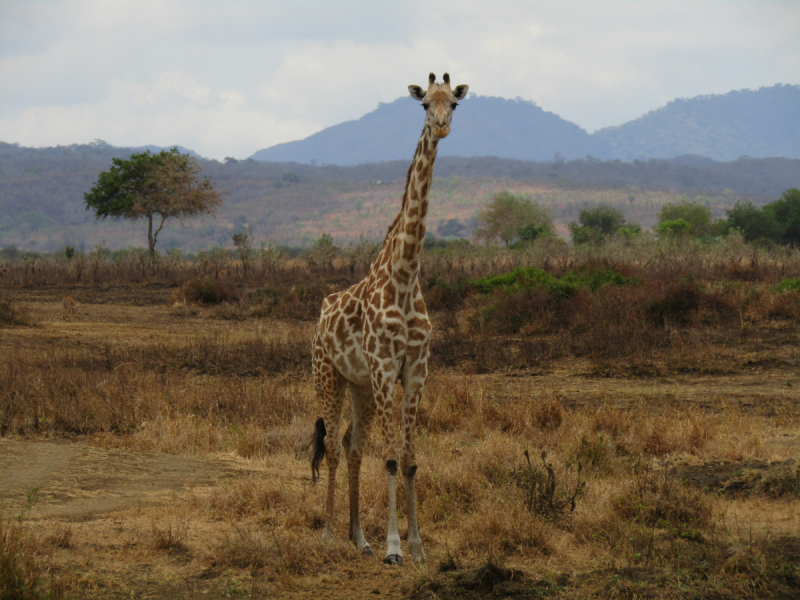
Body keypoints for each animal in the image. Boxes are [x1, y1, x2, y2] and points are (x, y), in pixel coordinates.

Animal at [308, 72, 468, 564]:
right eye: (424, 105)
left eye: (455, 103)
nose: (441, 126)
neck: (405, 273)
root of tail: (321, 315)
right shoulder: (383, 366)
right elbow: (393, 457)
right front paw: (394, 546)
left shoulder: (415, 368)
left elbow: (412, 460)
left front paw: (417, 545)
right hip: (328, 375)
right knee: (333, 448)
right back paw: (328, 533)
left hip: (359, 385)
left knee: (352, 445)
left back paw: (358, 538)